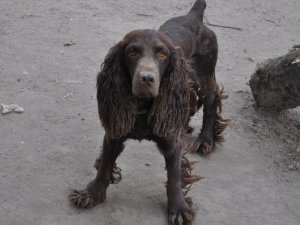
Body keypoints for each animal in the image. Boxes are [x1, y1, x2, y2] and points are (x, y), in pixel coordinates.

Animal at [69, 0, 230, 224]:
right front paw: (92, 193)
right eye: (132, 52)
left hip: (204, 74)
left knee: (212, 98)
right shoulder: (114, 134)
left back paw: (206, 139)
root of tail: (194, 15)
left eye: (162, 54)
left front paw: (179, 208)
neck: (143, 105)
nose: (146, 78)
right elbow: (105, 165)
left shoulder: (172, 144)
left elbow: (174, 177)